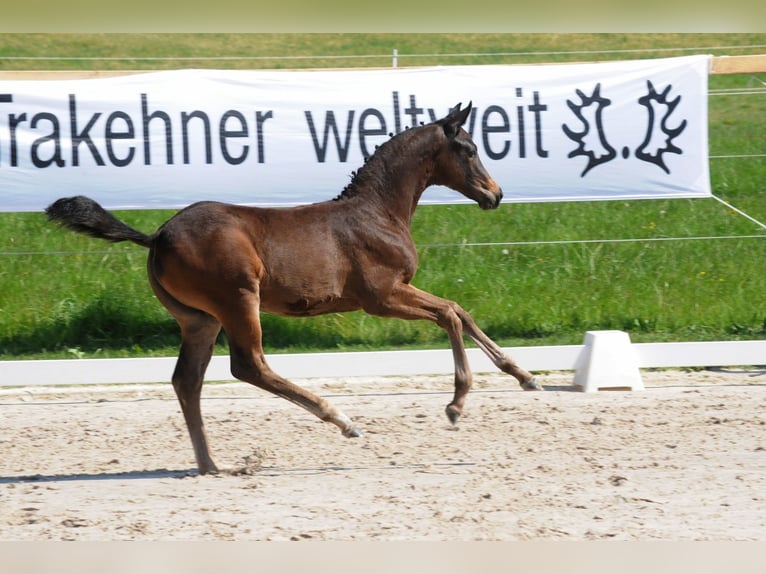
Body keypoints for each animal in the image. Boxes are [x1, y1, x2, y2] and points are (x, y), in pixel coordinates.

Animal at [46, 103, 540, 476]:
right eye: (470, 149)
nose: (496, 194)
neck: (378, 212)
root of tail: (157, 236)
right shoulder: (382, 297)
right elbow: (449, 314)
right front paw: (456, 404)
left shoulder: (398, 291)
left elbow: (459, 309)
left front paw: (525, 376)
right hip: (238, 300)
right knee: (249, 366)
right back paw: (341, 420)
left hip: (199, 319)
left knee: (187, 380)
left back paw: (211, 464)